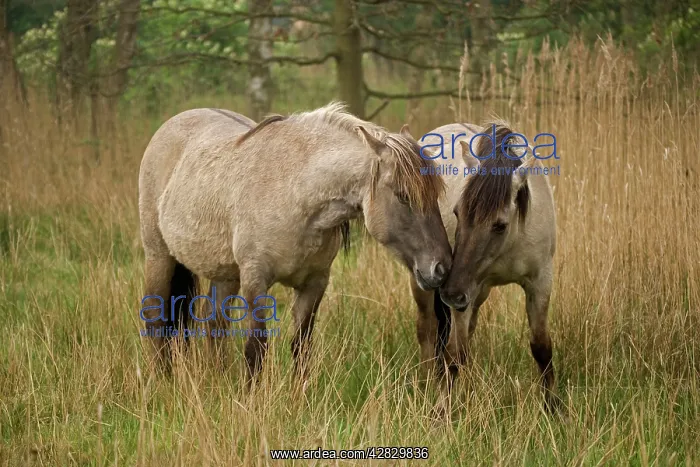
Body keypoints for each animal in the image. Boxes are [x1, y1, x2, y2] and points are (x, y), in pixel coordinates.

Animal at [138, 103, 452, 381]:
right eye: (403, 196)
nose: (442, 267)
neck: (296, 193)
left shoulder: (314, 284)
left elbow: (301, 347)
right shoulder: (255, 280)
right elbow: (256, 349)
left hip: (224, 274)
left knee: (215, 323)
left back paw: (217, 380)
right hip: (159, 256)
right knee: (155, 317)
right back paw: (162, 380)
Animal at [411, 121, 559, 411]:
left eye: (499, 225)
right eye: (457, 213)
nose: (450, 293)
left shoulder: (540, 282)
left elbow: (541, 346)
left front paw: (552, 406)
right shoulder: (463, 291)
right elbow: (454, 353)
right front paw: (442, 410)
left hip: (477, 293)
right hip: (425, 282)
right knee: (428, 331)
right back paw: (427, 383)